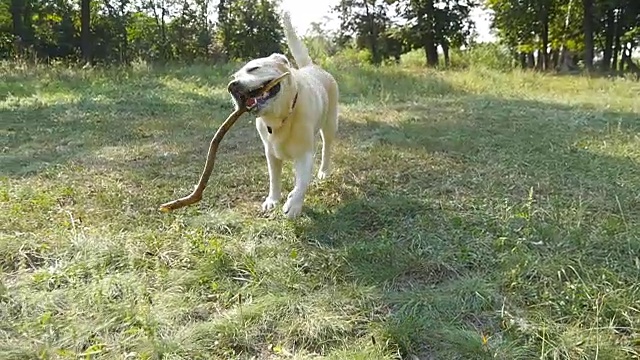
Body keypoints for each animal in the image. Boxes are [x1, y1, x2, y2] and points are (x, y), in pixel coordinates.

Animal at [229, 11, 340, 218]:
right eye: (235, 77)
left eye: (254, 68)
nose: (232, 86)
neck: (281, 118)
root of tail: (312, 67)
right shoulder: (270, 153)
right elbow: (274, 179)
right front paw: (272, 200)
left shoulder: (305, 154)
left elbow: (302, 182)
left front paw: (293, 205)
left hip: (330, 125)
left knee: (327, 148)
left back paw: (324, 171)